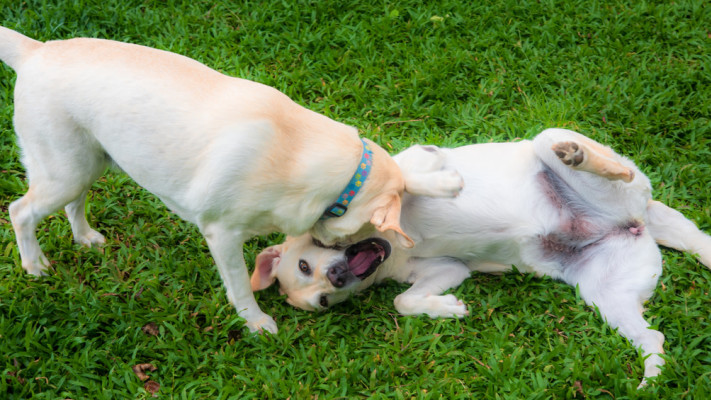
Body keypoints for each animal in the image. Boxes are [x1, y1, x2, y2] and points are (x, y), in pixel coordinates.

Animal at [0, 26, 420, 334]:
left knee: (75, 202)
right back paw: (35, 265)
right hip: (63, 173)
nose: (338, 272)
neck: (298, 151)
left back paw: (84, 237)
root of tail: (35, 50)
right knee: (20, 211)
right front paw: (255, 322)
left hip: (84, 166)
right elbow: (239, 286)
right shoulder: (223, 235)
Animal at [252, 129, 711, 384]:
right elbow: (404, 300)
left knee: (613, 167)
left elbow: (409, 179)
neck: (387, 245)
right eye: (322, 300)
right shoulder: (447, 270)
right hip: (604, 296)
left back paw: (582, 156)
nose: (336, 278)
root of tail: (638, 216)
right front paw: (448, 309)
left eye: (306, 264)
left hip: (552, 139)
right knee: (653, 339)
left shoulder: (420, 158)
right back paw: (650, 380)